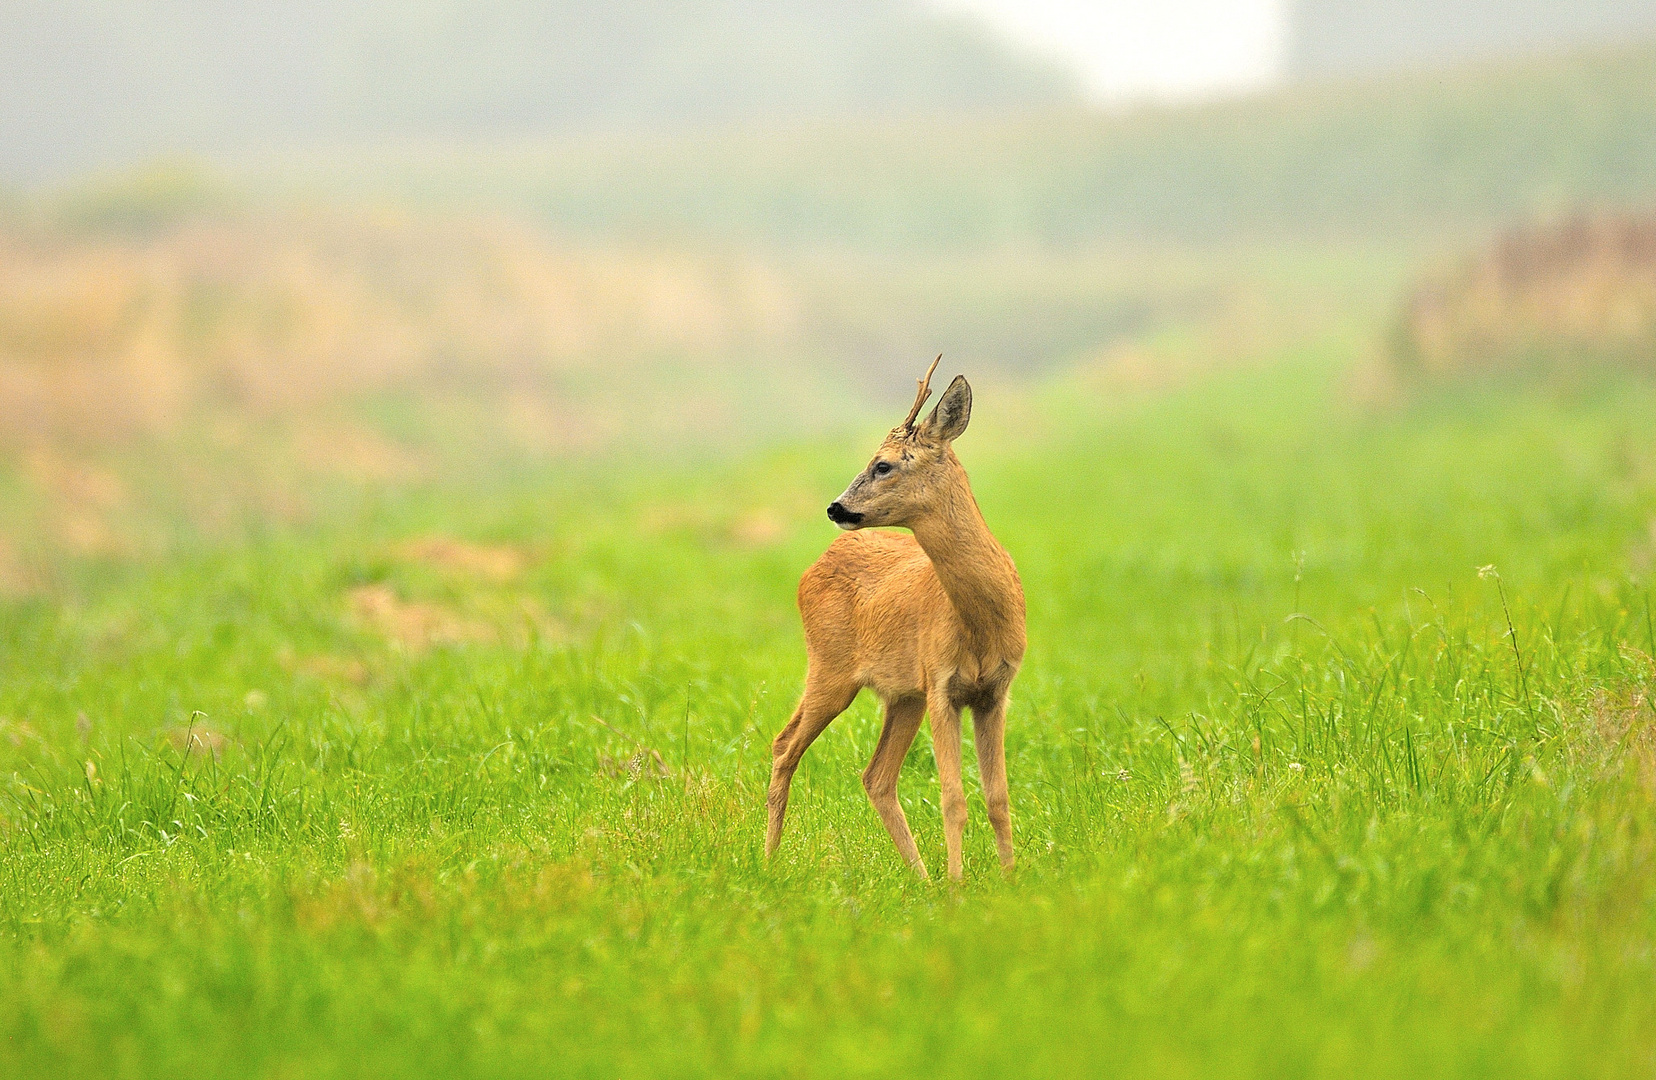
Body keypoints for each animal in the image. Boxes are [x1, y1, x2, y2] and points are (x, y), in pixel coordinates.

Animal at [761, 357, 1020, 881]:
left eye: (882, 464)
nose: (835, 506)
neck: (982, 622)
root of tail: (809, 569)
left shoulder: (993, 692)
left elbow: (998, 798)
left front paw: (1010, 879)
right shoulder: (942, 684)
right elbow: (953, 799)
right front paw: (958, 885)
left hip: (902, 695)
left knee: (876, 776)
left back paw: (920, 876)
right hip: (831, 669)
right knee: (784, 745)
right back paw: (769, 861)